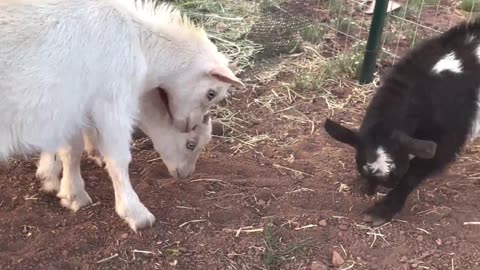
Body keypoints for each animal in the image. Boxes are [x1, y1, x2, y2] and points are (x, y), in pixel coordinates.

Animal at [0, 0, 242, 232]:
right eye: (211, 93)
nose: (186, 174)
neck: (139, 42)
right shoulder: (109, 100)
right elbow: (115, 157)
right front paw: (133, 212)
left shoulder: (73, 106)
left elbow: (70, 147)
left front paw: (58, 181)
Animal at [324, 18, 480, 226]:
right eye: (361, 169)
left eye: (395, 173)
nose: (371, 191)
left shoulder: (450, 135)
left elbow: (415, 173)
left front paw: (382, 211)